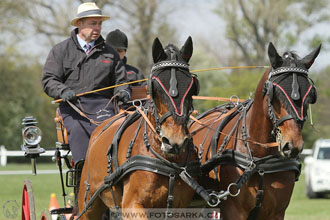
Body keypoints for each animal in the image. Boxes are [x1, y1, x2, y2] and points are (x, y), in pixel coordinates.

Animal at [77, 37, 200, 219]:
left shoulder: (181, 208)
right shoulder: (131, 205)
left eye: (192, 88)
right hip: (88, 204)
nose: (174, 141)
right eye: (154, 88)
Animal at [189, 42, 320, 219]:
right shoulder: (233, 210)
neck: (260, 159)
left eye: (310, 95)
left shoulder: (277, 212)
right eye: (275, 93)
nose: (292, 146)